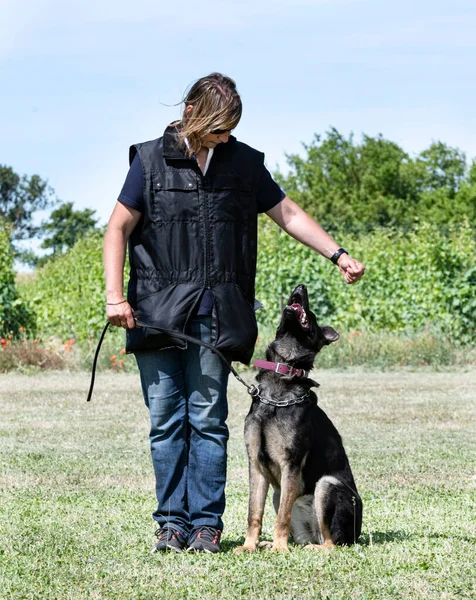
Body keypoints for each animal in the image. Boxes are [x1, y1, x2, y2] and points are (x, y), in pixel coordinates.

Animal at [236, 284, 362, 552]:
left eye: (311, 315)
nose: (300, 287)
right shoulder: (257, 466)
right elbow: (254, 513)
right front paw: (249, 545)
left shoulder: (290, 464)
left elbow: (282, 517)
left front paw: (280, 549)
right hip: (279, 493)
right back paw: (269, 543)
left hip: (326, 485)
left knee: (331, 543)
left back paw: (308, 548)